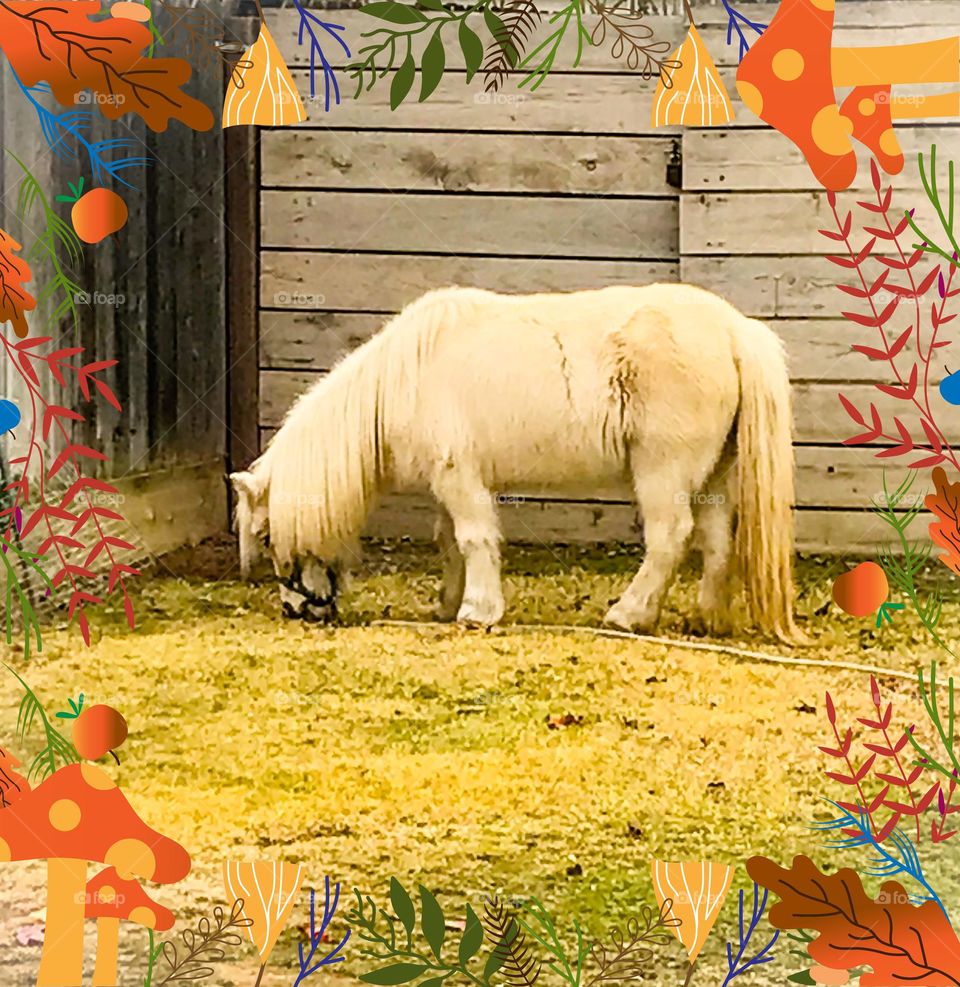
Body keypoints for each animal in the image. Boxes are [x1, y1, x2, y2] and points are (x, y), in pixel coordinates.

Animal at [231, 283, 799, 641]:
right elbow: (450, 544)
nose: (298, 611)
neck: (403, 376)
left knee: (670, 538)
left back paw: (627, 614)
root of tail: (735, 330)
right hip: (712, 474)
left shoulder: (460, 478)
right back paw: (706, 620)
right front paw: (449, 604)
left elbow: (474, 539)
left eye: (267, 536)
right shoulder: (449, 484)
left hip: (665, 470)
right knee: (717, 542)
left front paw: (477, 612)